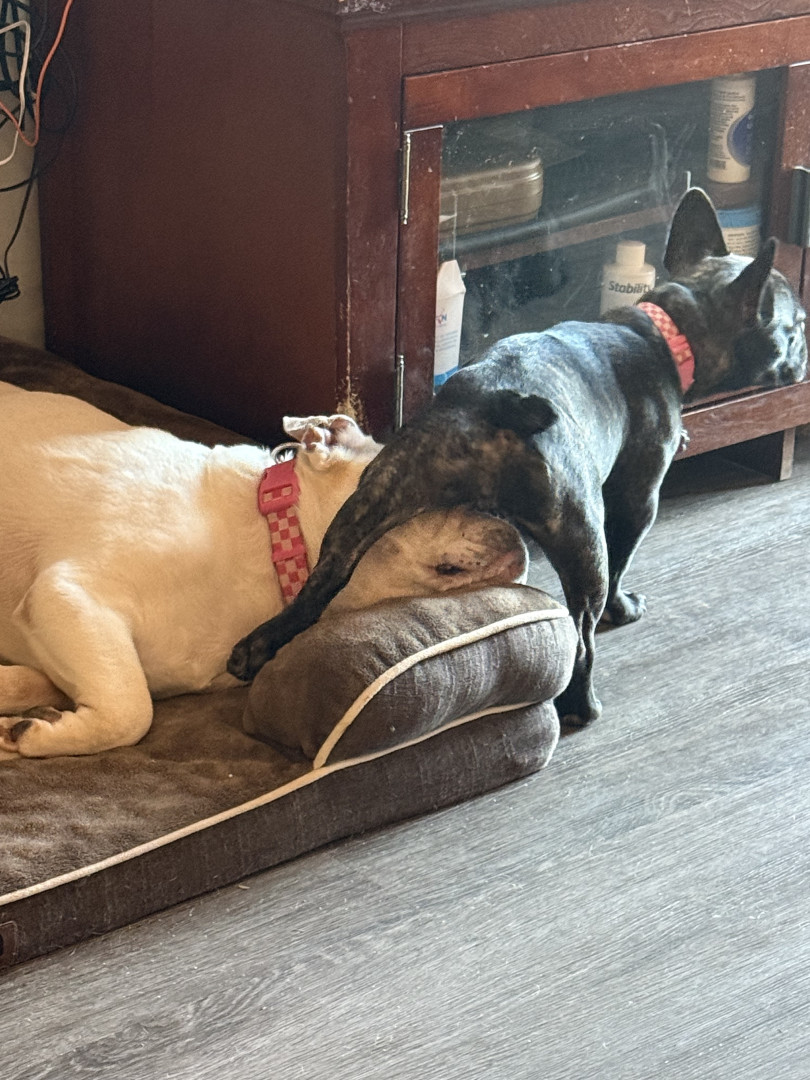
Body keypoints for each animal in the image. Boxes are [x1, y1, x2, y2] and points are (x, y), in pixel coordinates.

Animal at [228, 188, 808, 725]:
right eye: (796, 328)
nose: (804, 355)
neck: (666, 333)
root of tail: (493, 404)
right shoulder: (638, 500)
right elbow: (625, 561)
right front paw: (624, 609)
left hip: (363, 511)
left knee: (314, 590)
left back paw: (255, 650)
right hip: (582, 534)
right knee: (583, 630)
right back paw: (582, 704)